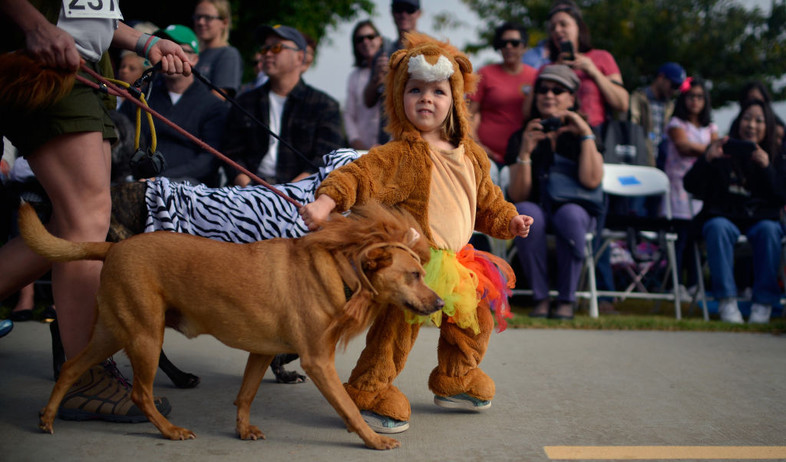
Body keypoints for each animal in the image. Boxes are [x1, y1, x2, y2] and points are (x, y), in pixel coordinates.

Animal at [19, 203, 440, 452]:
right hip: (145, 337)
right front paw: (372, 439)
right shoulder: (318, 361)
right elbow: (349, 408)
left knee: (71, 367)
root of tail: (115, 247)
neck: (341, 268)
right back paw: (169, 430)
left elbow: (246, 394)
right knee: (140, 393)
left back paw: (47, 418)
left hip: (113, 332)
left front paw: (242, 430)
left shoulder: (263, 351)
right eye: (414, 275)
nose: (439, 304)